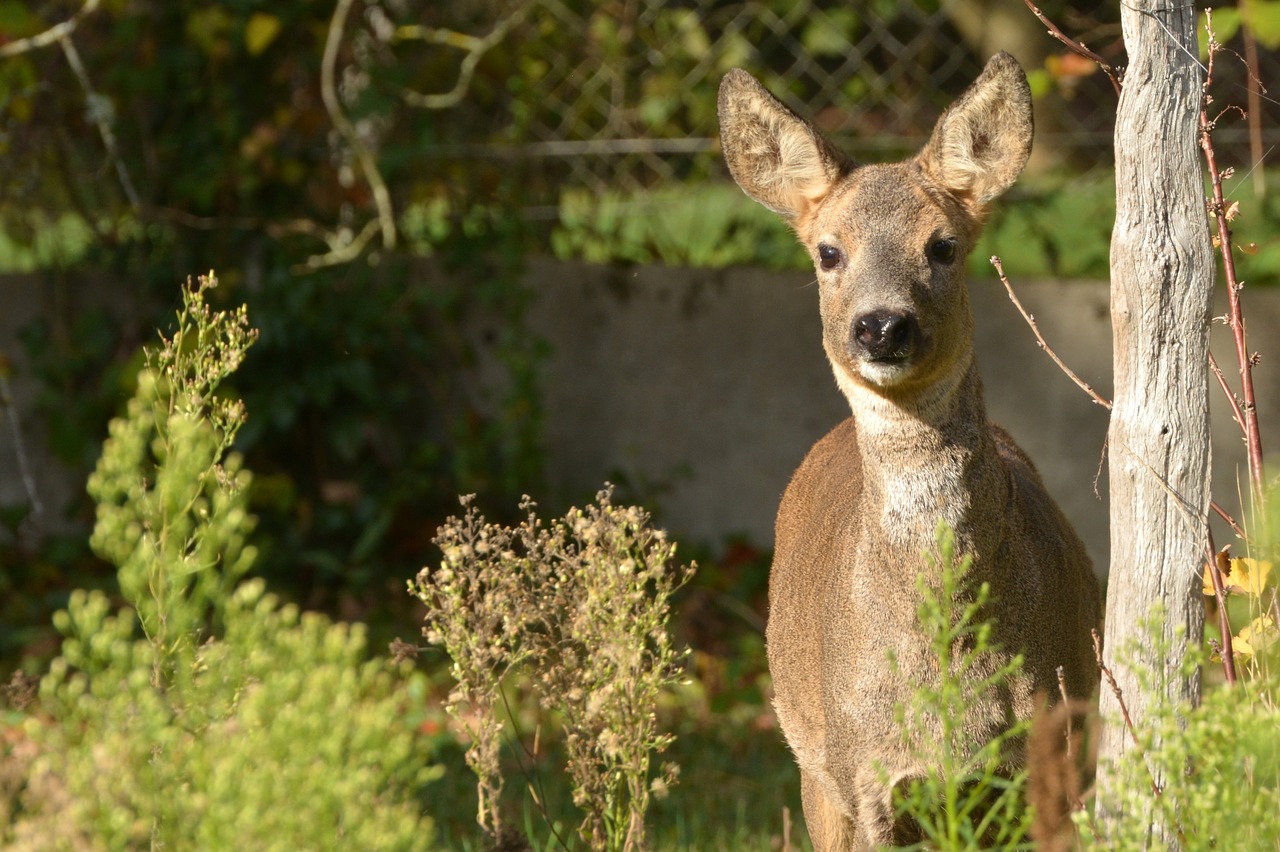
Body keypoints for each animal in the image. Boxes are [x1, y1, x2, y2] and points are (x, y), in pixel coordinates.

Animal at [721, 56, 1100, 844]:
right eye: (828, 251)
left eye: (943, 246)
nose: (882, 326)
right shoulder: (863, 775)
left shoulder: (1055, 756)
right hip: (813, 770)